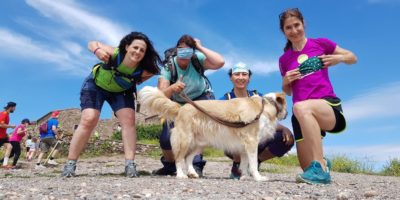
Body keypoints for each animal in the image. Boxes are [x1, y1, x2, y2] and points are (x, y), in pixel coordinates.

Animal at [138, 86, 288, 181]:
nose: (287, 114)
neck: (264, 106)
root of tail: (181, 108)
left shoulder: (244, 146)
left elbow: (245, 163)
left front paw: (244, 176)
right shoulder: (251, 141)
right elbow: (253, 163)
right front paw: (258, 177)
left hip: (200, 143)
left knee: (188, 158)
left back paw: (192, 173)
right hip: (185, 139)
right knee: (179, 158)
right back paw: (181, 175)